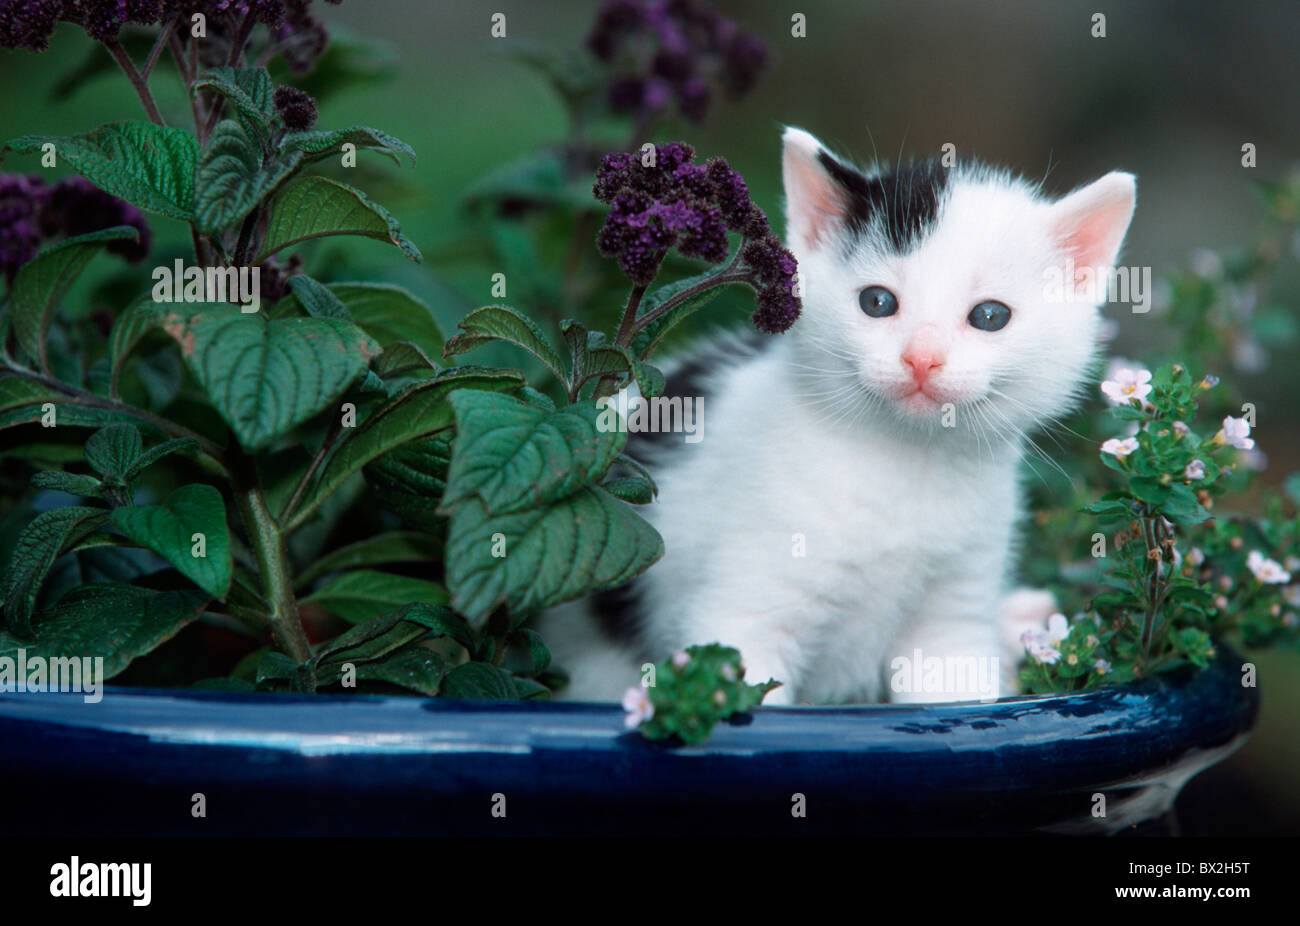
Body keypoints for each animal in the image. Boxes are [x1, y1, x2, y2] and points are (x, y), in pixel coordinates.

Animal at [538, 126, 1138, 707]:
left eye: (990, 316)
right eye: (877, 302)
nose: (921, 358)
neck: (905, 464)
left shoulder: (953, 613)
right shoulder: (743, 617)